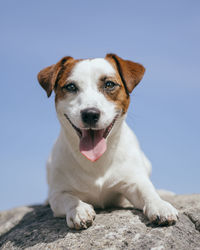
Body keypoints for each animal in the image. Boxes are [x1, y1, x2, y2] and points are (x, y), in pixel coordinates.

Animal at [37, 53, 178, 229]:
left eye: (109, 84)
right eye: (70, 87)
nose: (90, 114)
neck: (96, 162)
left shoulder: (134, 182)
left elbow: (147, 191)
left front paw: (160, 205)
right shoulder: (58, 194)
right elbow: (68, 198)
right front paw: (79, 209)